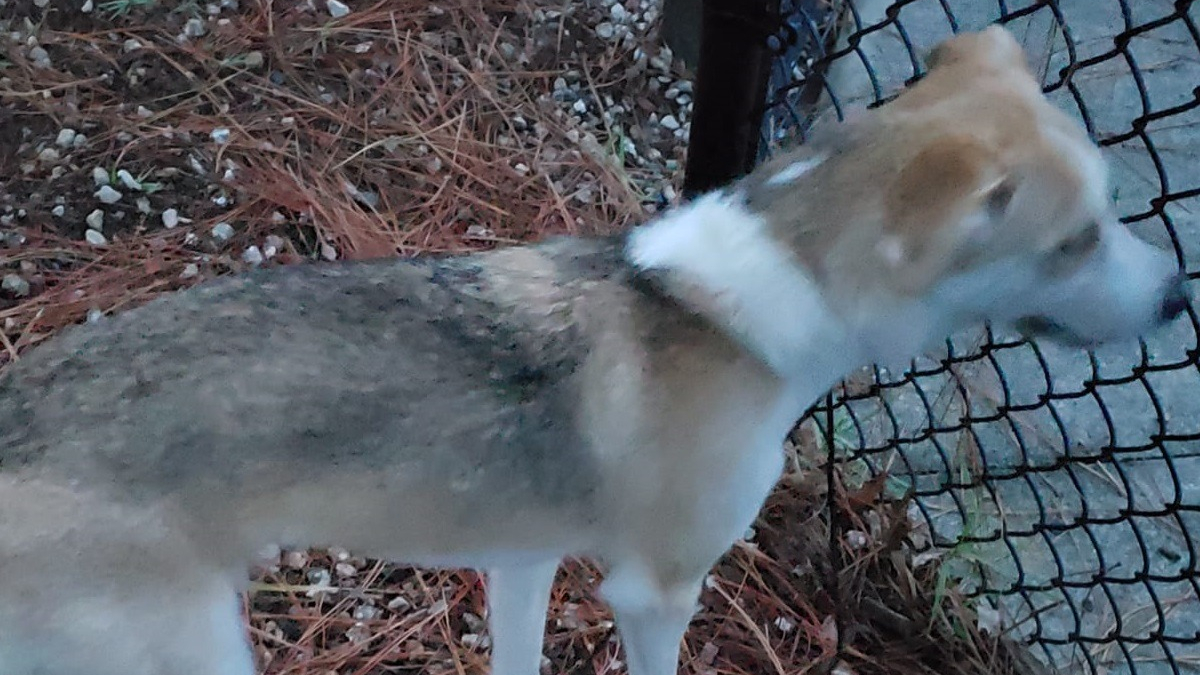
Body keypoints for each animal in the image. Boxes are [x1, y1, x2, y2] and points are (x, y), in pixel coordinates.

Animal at [0, 24, 1185, 672]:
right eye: (1076, 239)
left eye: (1111, 210)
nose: (1179, 297)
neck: (753, 305)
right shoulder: (658, 592)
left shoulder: (520, 556)